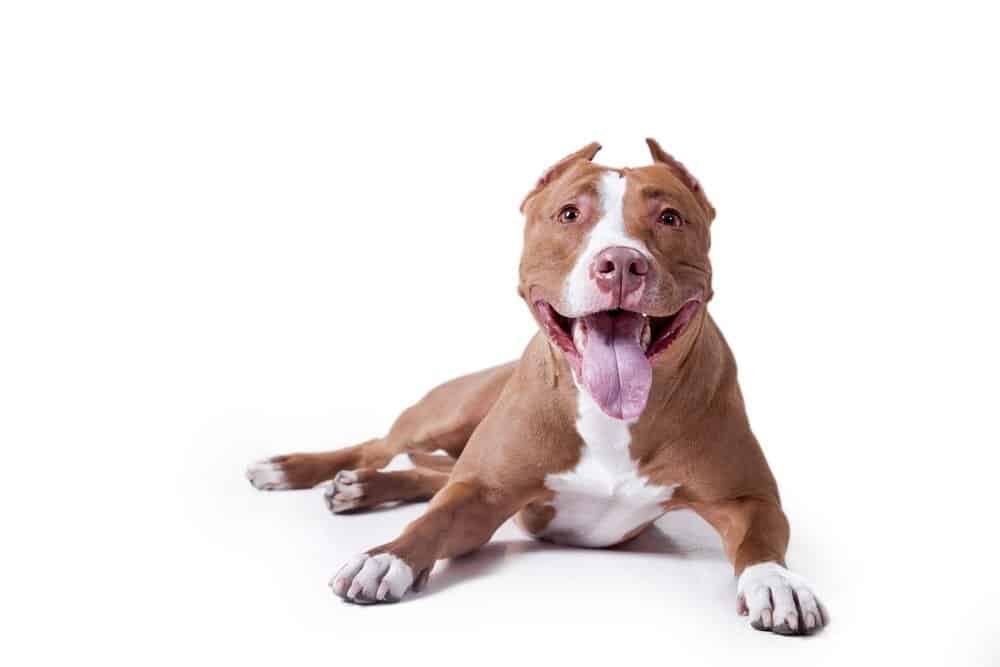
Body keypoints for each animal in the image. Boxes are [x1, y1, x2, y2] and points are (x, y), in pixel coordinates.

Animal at [246, 141, 824, 636]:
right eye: (569, 214)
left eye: (670, 218)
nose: (621, 262)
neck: (611, 417)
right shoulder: (484, 492)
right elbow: (432, 522)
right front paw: (385, 557)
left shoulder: (747, 498)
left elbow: (759, 540)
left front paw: (776, 582)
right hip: (448, 412)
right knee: (383, 448)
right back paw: (292, 469)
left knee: (429, 472)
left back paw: (360, 487)